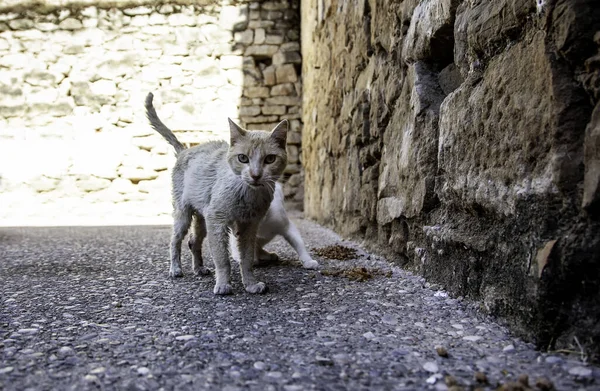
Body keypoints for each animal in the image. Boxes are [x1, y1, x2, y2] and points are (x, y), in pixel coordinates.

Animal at [145, 93, 316, 296]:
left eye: (270, 159)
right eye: (243, 158)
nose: (255, 175)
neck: (248, 195)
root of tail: (185, 150)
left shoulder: (249, 226)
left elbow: (247, 258)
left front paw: (250, 284)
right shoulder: (218, 221)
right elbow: (222, 259)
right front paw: (223, 285)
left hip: (203, 218)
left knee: (194, 241)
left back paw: (199, 268)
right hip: (184, 214)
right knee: (175, 241)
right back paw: (176, 269)